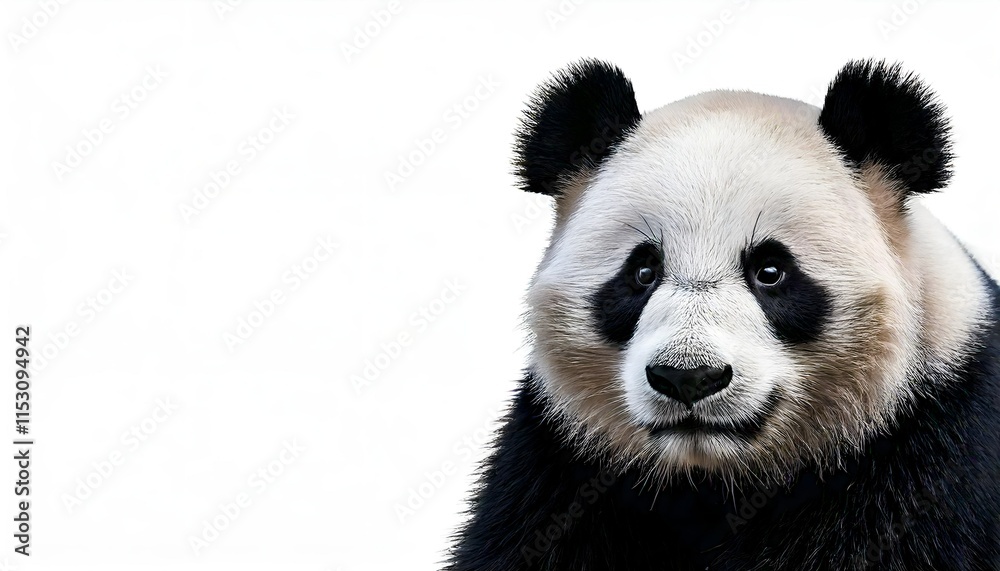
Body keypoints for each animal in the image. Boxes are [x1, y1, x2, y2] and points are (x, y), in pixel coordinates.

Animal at [446, 59, 1000, 571]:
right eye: (643, 271)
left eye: (770, 271)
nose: (688, 377)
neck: (713, 480)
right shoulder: (559, 466)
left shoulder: (929, 460)